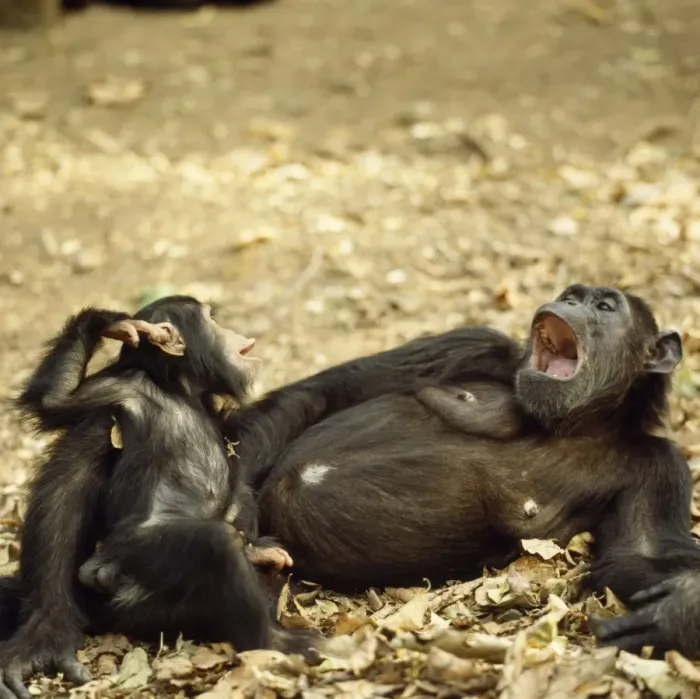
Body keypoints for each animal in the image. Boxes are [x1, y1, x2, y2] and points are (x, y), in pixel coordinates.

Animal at [0, 296, 316, 699]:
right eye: (211, 319)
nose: (231, 330)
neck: (181, 391)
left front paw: (258, 548)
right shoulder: (121, 389)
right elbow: (57, 399)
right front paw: (112, 323)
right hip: (136, 552)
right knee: (214, 544)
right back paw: (274, 640)